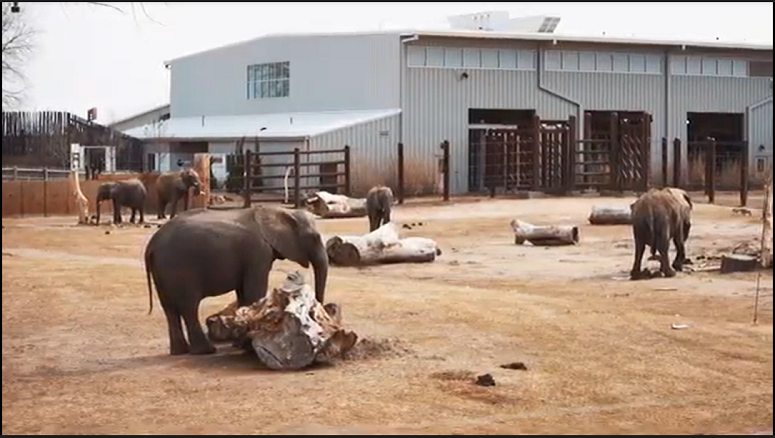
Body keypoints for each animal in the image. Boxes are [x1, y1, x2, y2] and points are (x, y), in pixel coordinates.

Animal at [144, 206, 328, 356]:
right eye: (314, 237)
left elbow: (243, 293)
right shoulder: (257, 252)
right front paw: (246, 346)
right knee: (188, 307)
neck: (281, 211)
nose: (315, 314)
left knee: (169, 308)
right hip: (180, 268)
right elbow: (254, 291)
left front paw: (239, 344)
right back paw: (205, 351)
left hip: (162, 270)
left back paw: (180, 352)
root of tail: (152, 244)